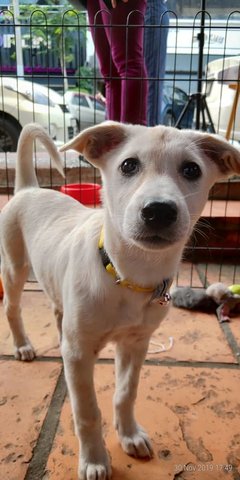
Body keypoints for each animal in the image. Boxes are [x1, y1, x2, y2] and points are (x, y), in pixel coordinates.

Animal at [0, 121, 240, 480]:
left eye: (191, 170)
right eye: (128, 165)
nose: (159, 211)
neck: (128, 276)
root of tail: (29, 189)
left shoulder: (135, 344)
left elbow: (126, 393)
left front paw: (129, 435)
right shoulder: (80, 354)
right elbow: (87, 411)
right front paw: (95, 460)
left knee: (58, 312)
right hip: (15, 267)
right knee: (12, 308)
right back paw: (22, 345)